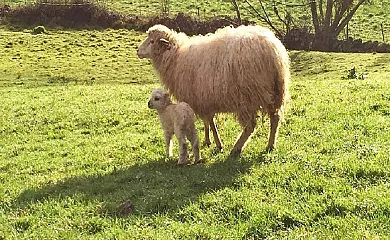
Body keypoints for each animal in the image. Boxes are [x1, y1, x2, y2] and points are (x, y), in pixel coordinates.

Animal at [137, 24, 290, 156]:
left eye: (152, 41)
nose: (137, 51)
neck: (176, 56)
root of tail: (272, 50)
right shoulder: (204, 98)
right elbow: (207, 122)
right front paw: (208, 141)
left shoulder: (202, 99)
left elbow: (210, 122)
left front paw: (218, 144)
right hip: (275, 92)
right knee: (275, 118)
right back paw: (270, 145)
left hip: (247, 96)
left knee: (250, 125)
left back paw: (237, 148)